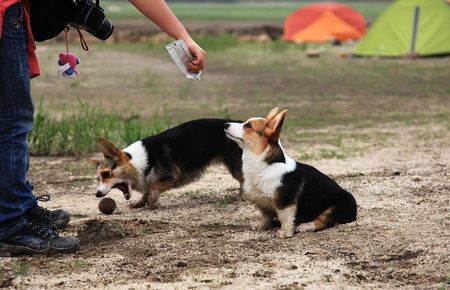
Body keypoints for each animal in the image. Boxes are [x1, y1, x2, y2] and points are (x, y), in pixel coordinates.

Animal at [91, 119, 243, 210]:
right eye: (99, 178)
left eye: (106, 174)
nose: (97, 195)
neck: (136, 161)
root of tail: (240, 123)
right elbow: (147, 189)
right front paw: (140, 203)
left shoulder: (171, 176)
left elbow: (152, 188)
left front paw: (152, 203)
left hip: (237, 166)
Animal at [223, 108, 356, 238]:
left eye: (248, 126)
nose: (225, 124)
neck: (266, 165)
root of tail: (355, 211)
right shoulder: (263, 202)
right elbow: (265, 216)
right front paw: (261, 226)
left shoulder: (285, 202)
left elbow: (285, 217)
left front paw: (285, 233)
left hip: (334, 208)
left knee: (322, 221)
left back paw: (304, 226)